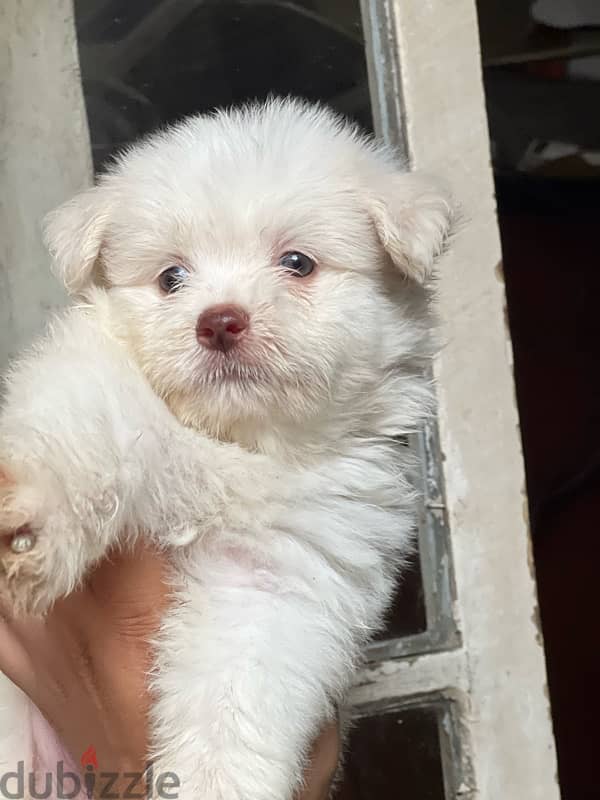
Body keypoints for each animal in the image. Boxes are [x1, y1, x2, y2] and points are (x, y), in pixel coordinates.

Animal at [0, 100, 450, 800]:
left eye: (297, 263)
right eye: (171, 277)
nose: (218, 321)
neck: (230, 448)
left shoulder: (278, 577)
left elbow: (233, 709)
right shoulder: (96, 379)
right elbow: (79, 431)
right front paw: (34, 524)